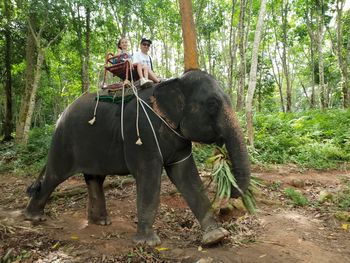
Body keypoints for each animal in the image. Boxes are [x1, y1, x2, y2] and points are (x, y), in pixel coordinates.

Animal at [23, 69, 249, 248]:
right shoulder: (142, 133)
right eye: (212, 104)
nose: (230, 194)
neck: (173, 81)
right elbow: (149, 178)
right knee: (54, 176)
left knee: (95, 178)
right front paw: (148, 243)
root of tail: (61, 115)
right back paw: (33, 217)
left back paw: (101, 222)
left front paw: (216, 237)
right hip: (63, 141)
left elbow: (188, 178)